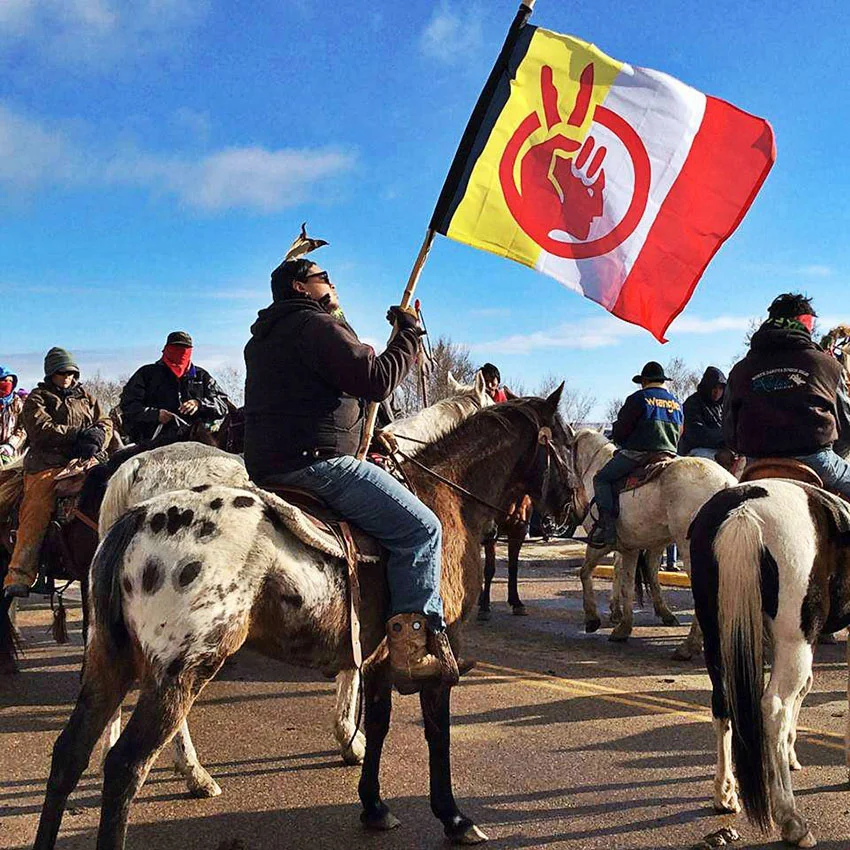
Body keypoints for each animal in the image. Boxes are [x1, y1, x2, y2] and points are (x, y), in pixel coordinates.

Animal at [564, 428, 736, 660]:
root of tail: (726, 483)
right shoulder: (637, 547)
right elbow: (634, 581)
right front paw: (627, 626)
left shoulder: (600, 543)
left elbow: (585, 572)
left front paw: (592, 619)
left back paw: (688, 646)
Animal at [688, 480, 848, 844]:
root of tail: (745, 509)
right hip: (793, 641)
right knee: (774, 707)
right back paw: (792, 820)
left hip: (717, 637)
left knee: (723, 705)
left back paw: (725, 794)